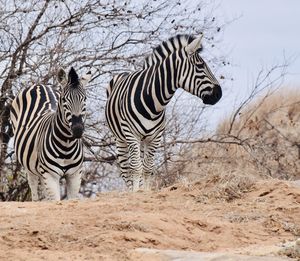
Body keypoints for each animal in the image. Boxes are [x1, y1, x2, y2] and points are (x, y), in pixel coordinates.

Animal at [10, 67, 91, 199]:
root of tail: (39, 85)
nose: (78, 129)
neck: (66, 144)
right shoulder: (50, 176)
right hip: (30, 168)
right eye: (64, 100)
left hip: (41, 170)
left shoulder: (75, 175)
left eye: (85, 99)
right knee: (34, 190)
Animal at [105, 34, 220, 191]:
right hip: (120, 138)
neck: (152, 102)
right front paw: (135, 193)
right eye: (200, 66)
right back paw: (130, 190)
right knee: (125, 169)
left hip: (143, 140)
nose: (219, 94)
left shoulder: (156, 137)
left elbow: (147, 168)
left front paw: (145, 192)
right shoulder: (131, 134)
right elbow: (135, 168)